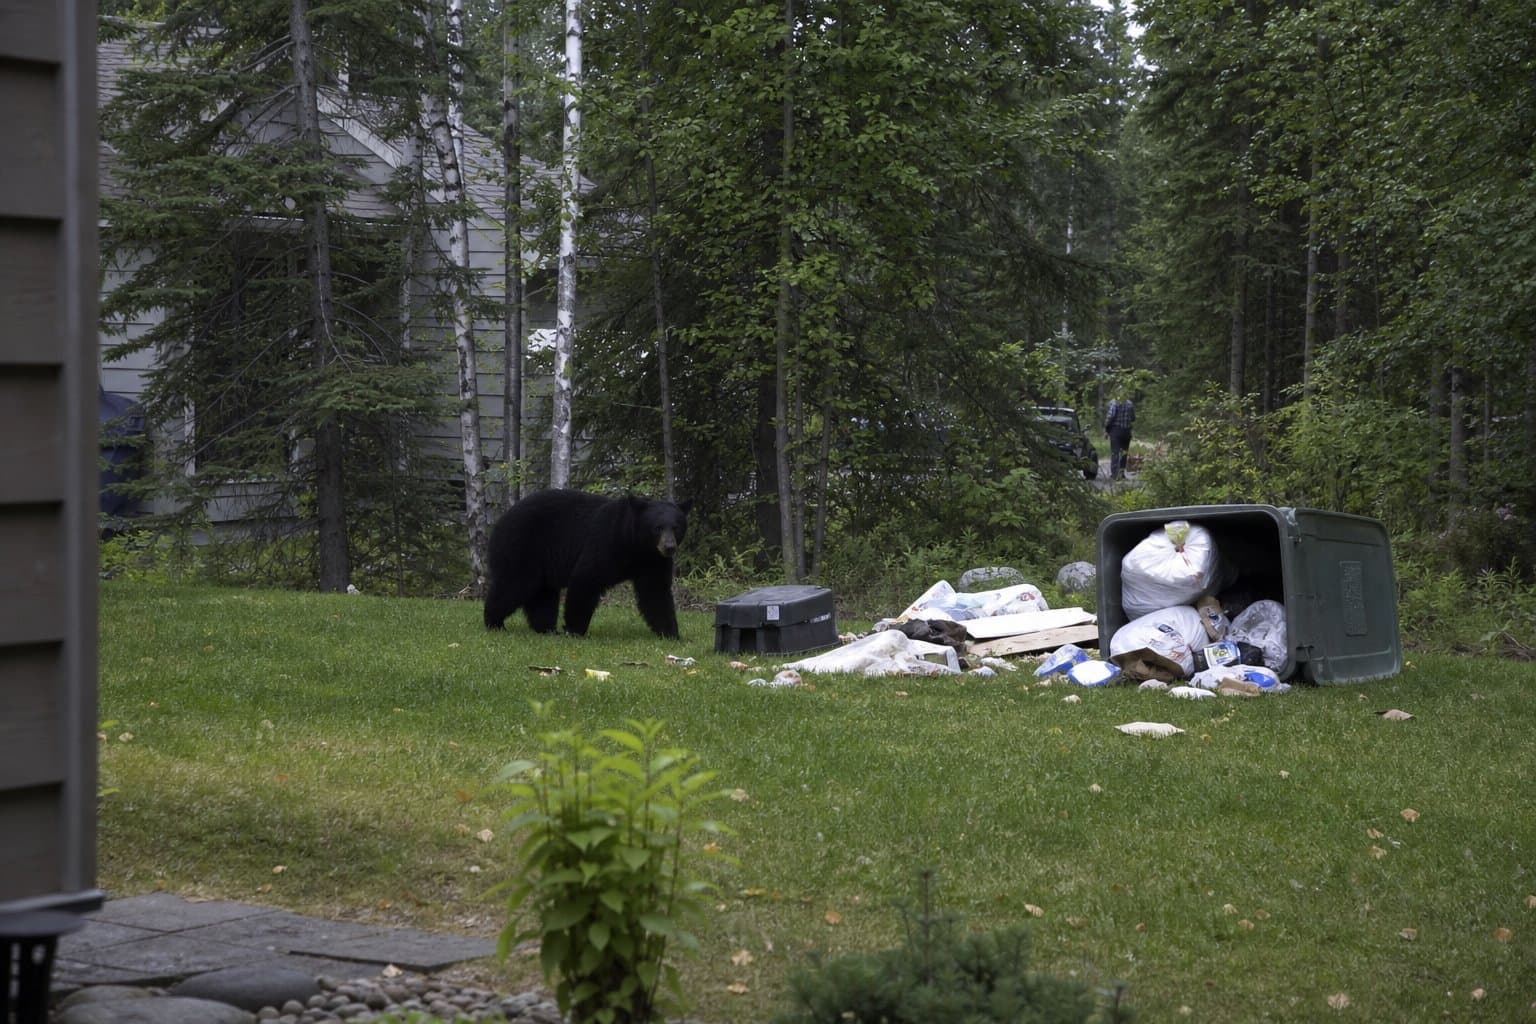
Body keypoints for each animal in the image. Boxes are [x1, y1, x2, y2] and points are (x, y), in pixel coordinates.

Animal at [483, 488, 692, 639]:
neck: (634, 545)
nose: (669, 547)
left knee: (543, 594)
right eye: (657, 528)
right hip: (522, 546)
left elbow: (656, 592)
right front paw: (575, 630)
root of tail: (500, 521)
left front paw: (671, 633)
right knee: (514, 584)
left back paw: (547, 629)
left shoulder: (653, 561)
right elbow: (587, 578)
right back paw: (495, 623)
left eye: (676, 527)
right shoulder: (606, 543)